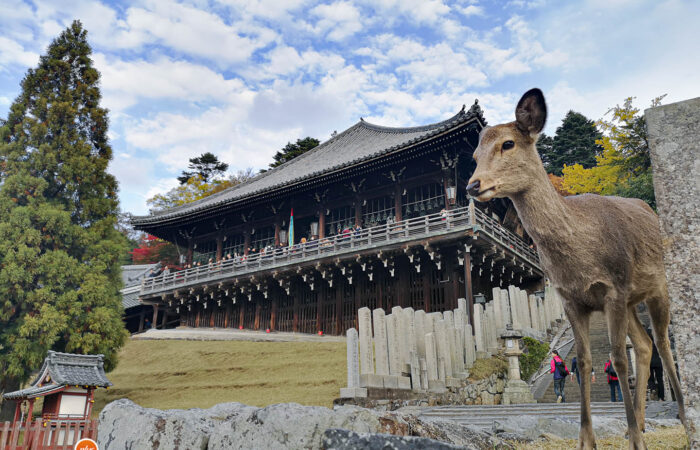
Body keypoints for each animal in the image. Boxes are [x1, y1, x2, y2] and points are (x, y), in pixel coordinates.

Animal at [466, 89, 686, 449]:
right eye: (474, 154)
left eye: (508, 143)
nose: (473, 185)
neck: (580, 260)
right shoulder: (572, 299)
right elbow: (583, 362)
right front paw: (588, 440)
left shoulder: (613, 288)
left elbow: (617, 358)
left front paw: (635, 441)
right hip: (631, 301)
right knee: (644, 344)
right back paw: (637, 425)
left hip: (657, 287)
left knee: (663, 343)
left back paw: (680, 417)